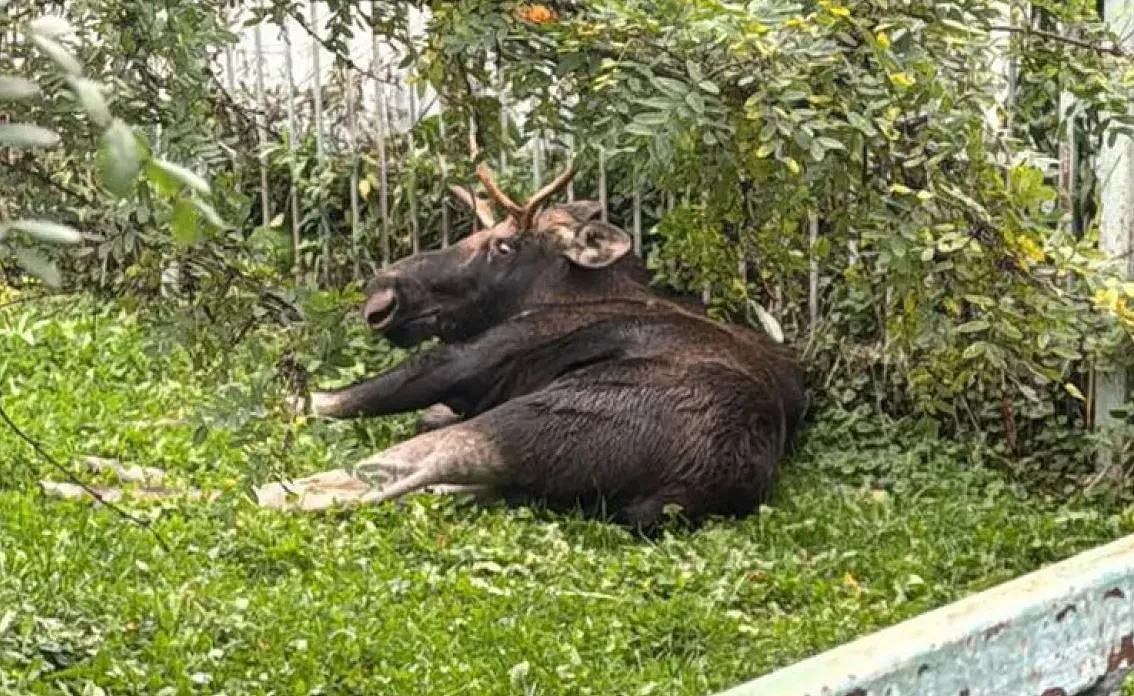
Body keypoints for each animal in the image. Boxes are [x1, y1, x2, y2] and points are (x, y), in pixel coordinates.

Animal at [278, 137, 811, 535]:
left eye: (503, 245)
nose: (382, 295)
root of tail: (700, 487)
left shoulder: (472, 357)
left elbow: (329, 399)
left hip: (536, 417)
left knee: (403, 466)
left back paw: (281, 492)